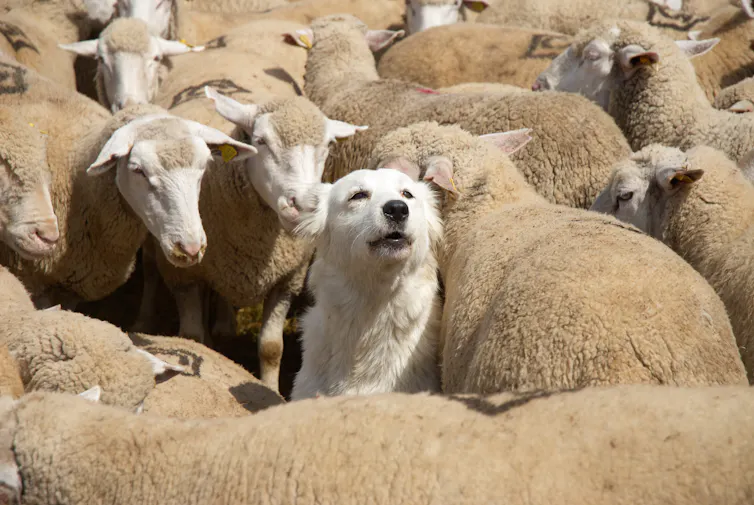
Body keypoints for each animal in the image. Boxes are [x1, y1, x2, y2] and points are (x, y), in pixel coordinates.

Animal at [150, 88, 367, 391]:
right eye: (261, 141)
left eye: (327, 147)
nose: (303, 206)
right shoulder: (183, 277)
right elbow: (192, 337)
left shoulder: (288, 280)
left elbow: (271, 347)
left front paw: (271, 391)